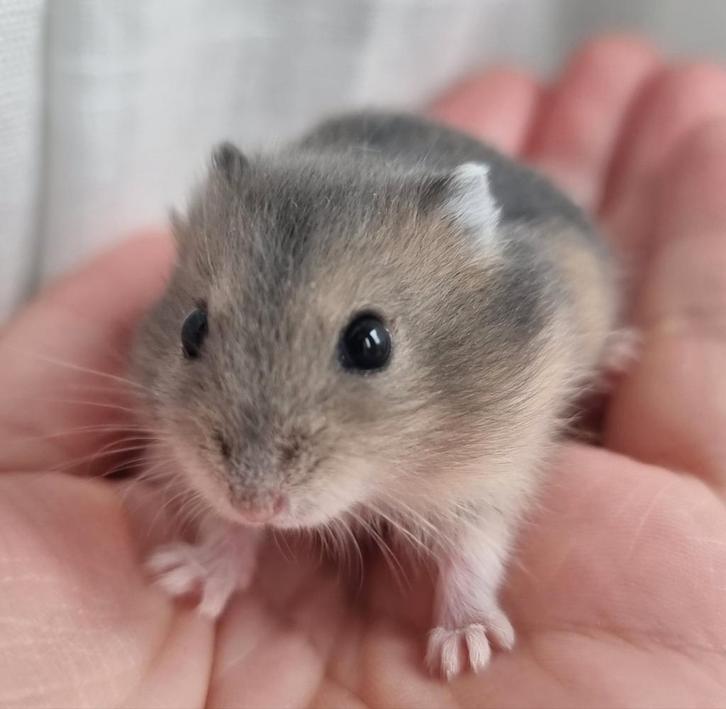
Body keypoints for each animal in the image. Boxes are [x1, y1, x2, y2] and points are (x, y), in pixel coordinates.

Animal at [131, 111, 619, 679]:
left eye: (370, 342)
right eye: (191, 327)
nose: (254, 503)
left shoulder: (493, 468)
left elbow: (473, 552)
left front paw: (465, 650)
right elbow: (224, 528)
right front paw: (185, 580)